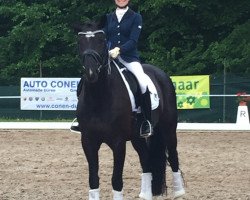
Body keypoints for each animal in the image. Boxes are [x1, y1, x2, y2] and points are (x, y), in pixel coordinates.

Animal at [73, 20, 185, 200]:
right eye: (80, 43)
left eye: (101, 41)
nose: (91, 73)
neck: (100, 97)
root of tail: (161, 74)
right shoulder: (88, 141)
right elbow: (93, 179)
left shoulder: (118, 143)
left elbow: (116, 179)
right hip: (137, 137)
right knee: (146, 160)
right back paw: (146, 194)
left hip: (168, 129)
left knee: (174, 156)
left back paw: (179, 192)